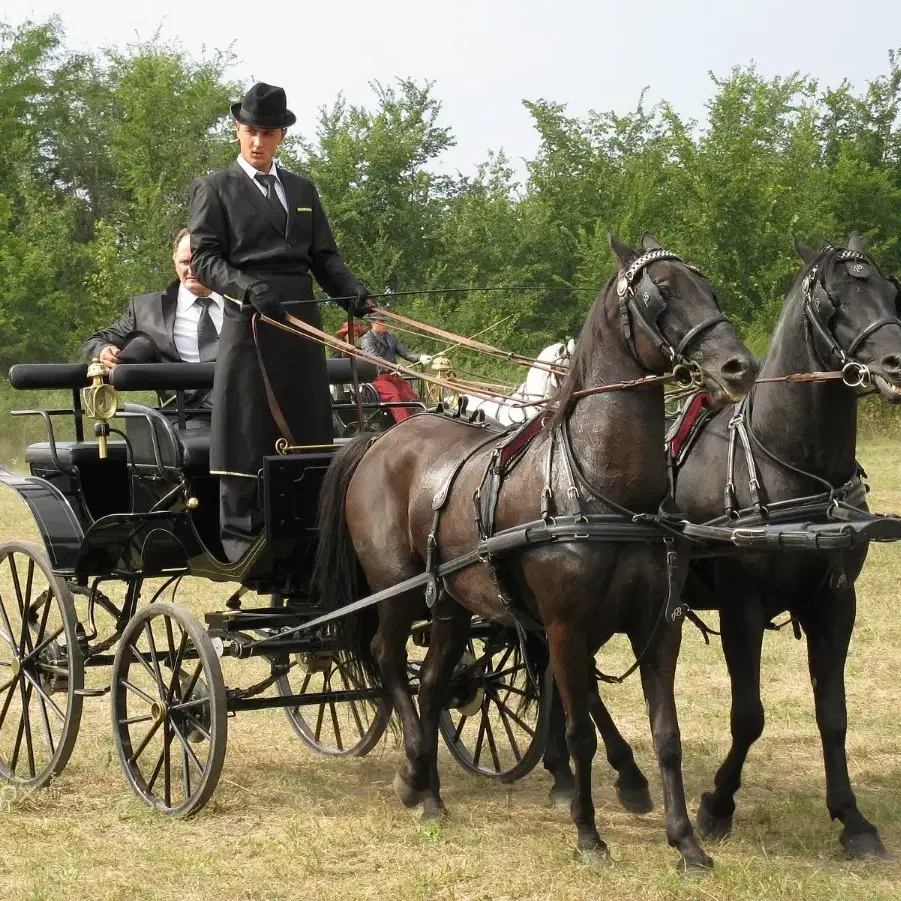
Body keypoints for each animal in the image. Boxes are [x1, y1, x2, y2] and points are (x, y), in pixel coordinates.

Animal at [316, 236, 760, 868]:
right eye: (661, 293)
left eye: (710, 289)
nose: (738, 367)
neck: (603, 486)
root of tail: (379, 438)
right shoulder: (565, 627)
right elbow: (577, 730)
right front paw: (589, 834)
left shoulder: (658, 625)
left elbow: (666, 735)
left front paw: (686, 843)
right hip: (396, 590)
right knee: (386, 658)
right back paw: (411, 769)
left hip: (450, 603)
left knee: (433, 680)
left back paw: (429, 791)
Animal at [540, 232, 900, 856]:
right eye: (833, 299)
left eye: (890, 288)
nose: (895, 361)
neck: (790, 464)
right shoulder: (741, 607)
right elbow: (749, 716)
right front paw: (717, 805)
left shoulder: (836, 602)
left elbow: (833, 714)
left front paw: (852, 820)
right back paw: (614, 775)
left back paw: (589, 772)